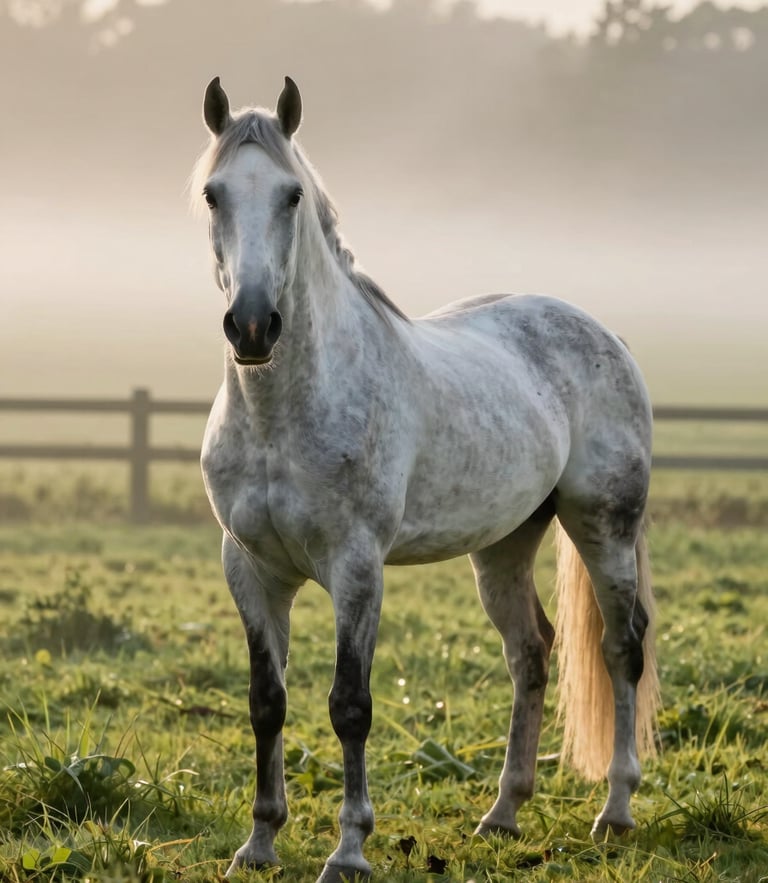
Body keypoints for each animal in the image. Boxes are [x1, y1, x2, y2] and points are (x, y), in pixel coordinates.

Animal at [191, 76, 660, 883]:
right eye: (214, 194)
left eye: (291, 195)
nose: (252, 326)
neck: (282, 413)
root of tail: (604, 333)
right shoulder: (249, 567)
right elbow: (265, 701)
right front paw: (258, 843)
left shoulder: (357, 567)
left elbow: (350, 704)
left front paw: (349, 850)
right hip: (505, 545)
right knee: (530, 652)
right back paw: (502, 813)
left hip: (604, 528)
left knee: (620, 647)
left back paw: (616, 811)